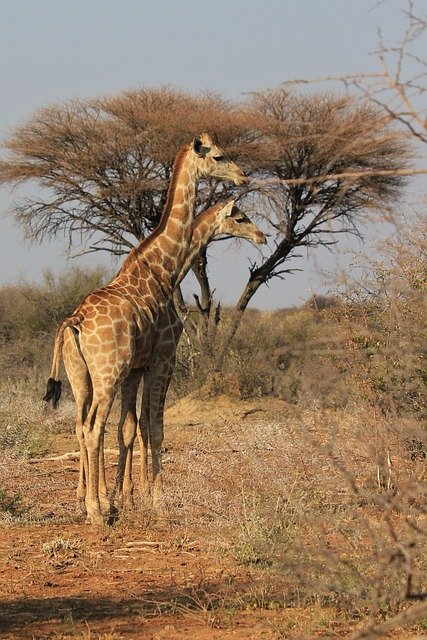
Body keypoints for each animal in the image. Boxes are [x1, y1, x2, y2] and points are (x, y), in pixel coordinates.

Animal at [44, 133, 247, 525]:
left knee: (82, 425)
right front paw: (155, 501)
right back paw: (96, 510)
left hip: (82, 378)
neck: (163, 269)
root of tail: (74, 322)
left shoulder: (136, 369)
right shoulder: (162, 360)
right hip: (107, 374)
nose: (243, 176)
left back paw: (88, 503)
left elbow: (130, 427)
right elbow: (153, 427)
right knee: (94, 429)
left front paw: (125, 498)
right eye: (218, 156)